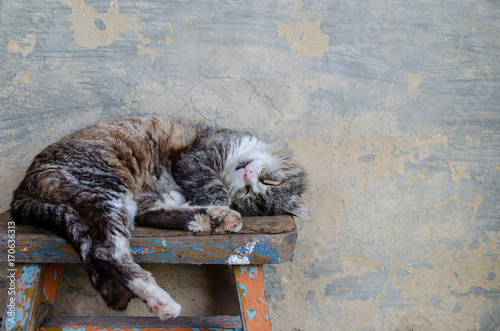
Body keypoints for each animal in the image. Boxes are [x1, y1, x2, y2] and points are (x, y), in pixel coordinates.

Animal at [10, 115, 308, 320]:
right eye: (266, 182)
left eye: (257, 190)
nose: (248, 175)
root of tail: (22, 190)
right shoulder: (195, 157)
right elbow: (213, 188)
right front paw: (209, 201)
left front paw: (197, 205)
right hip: (106, 184)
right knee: (108, 252)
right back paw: (162, 301)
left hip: (112, 194)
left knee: (127, 233)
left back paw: (211, 219)